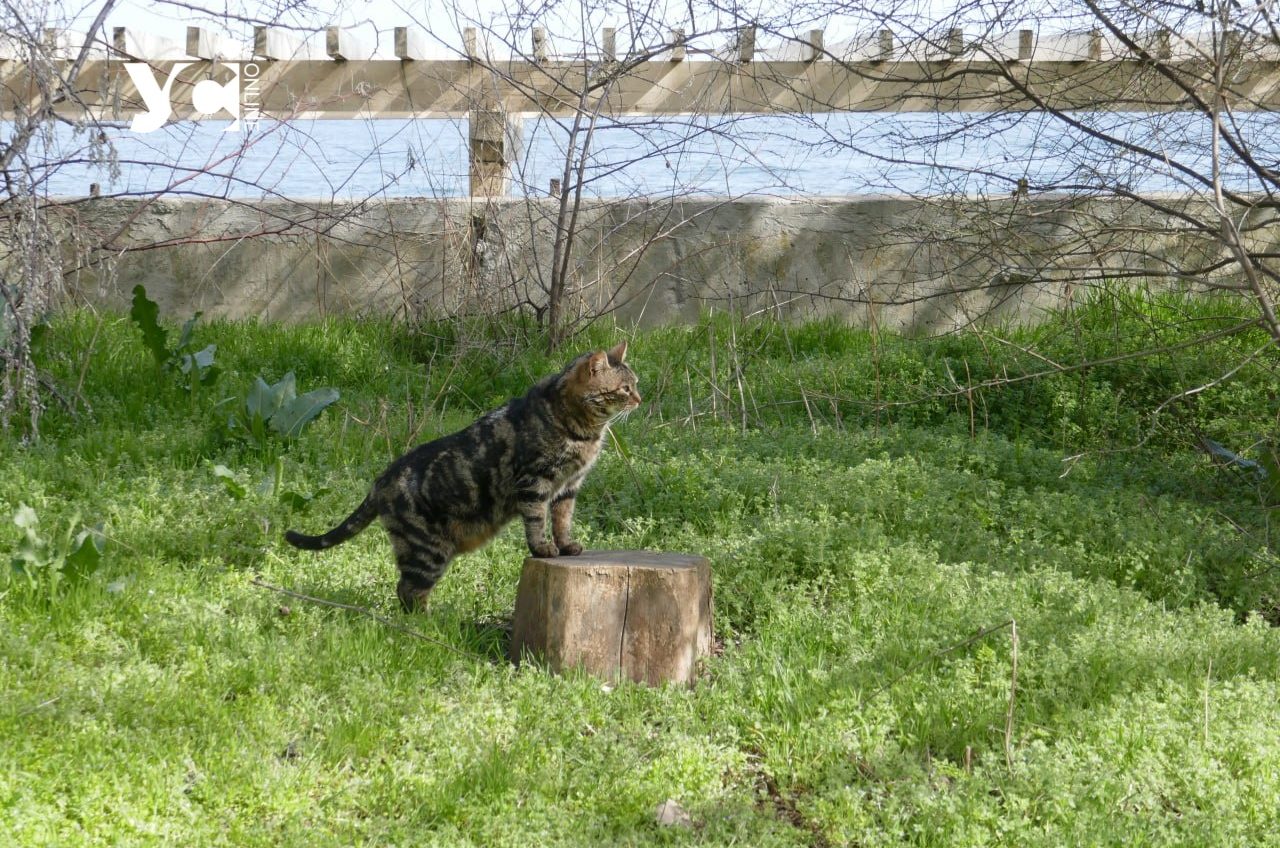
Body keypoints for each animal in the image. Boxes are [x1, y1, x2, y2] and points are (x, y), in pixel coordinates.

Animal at [288, 343, 640, 614]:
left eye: (634, 384)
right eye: (625, 389)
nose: (639, 399)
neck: (583, 432)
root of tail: (379, 481)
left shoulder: (568, 488)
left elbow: (563, 521)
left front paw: (566, 546)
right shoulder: (535, 482)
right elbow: (537, 521)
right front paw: (543, 549)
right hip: (428, 551)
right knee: (407, 590)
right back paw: (430, 624)